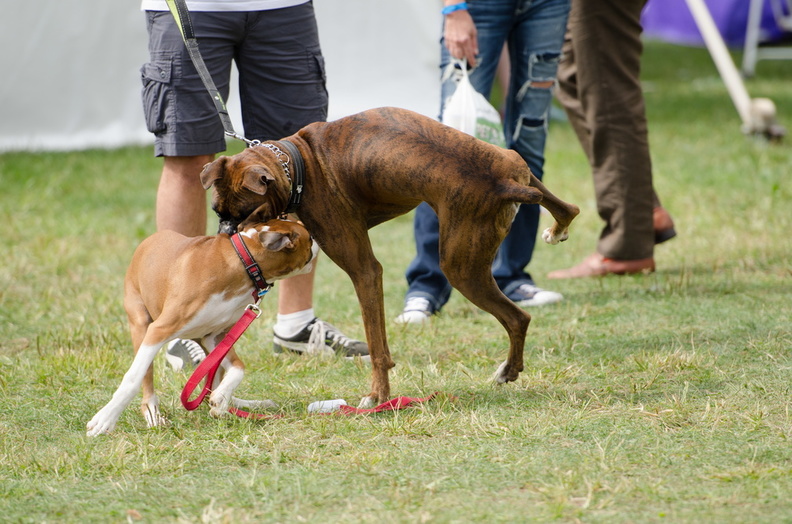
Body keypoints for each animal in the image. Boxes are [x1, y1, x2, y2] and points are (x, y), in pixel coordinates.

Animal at [87, 219, 318, 436]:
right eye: (309, 237)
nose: (318, 241)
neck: (244, 262)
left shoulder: (215, 337)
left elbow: (238, 368)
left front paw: (222, 399)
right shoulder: (159, 330)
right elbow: (132, 379)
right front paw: (106, 419)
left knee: (210, 388)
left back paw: (239, 403)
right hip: (141, 324)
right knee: (147, 377)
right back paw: (152, 413)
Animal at [201, 106, 580, 410]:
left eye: (248, 215)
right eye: (217, 210)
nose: (225, 233)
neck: (299, 161)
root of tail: (503, 183)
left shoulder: (365, 272)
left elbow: (377, 344)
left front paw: (378, 396)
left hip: (462, 269)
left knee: (517, 317)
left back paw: (507, 371)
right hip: (515, 163)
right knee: (568, 208)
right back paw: (557, 227)